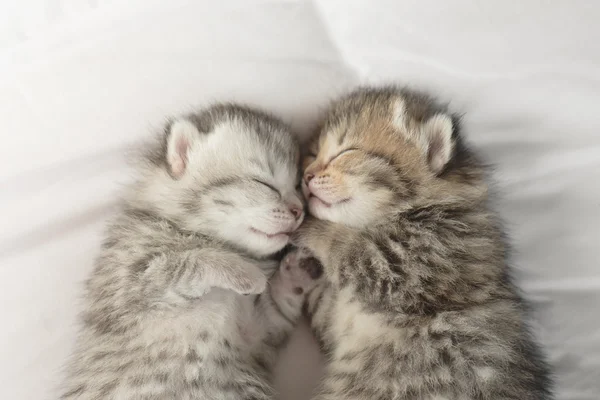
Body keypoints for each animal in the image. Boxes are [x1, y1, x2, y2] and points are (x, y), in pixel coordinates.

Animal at [61, 104, 322, 400]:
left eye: (297, 187)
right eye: (264, 183)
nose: (299, 211)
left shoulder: (254, 335)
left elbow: (278, 304)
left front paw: (298, 270)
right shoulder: (128, 285)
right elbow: (187, 263)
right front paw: (245, 272)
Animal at [290, 87, 552, 400]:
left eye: (346, 152)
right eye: (311, 154)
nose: (307, 177)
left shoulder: (408, 260)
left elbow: (344, 245)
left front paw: (305, 224)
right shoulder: (334, 314)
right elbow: (321, 299)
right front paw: (295, 271)